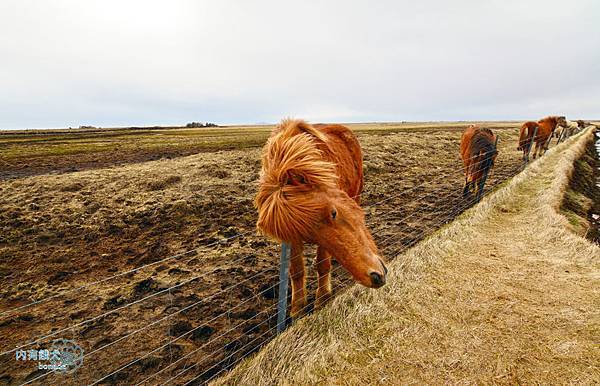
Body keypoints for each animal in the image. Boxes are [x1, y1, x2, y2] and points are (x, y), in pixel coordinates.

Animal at [254, 120, 386, 316]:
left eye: (333, 213)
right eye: (305, 234)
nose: (375, 277)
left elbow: (322, 264)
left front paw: (322, 299)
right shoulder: (291, 238)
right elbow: (296, 270)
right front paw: (298, 309)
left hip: (357, 194)